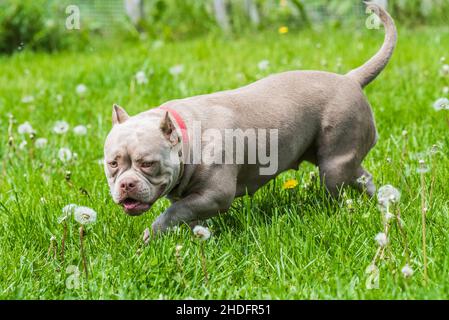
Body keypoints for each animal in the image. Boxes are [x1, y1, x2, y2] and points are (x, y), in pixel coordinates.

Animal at [102, 1, 396, 232]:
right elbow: (185, 214)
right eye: (113, 164)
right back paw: (381, 202)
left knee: (345, 185)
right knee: (363, 178)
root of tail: (351, 79)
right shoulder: (189, 196)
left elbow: (173, 213)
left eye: (147, 163)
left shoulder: (215, 195)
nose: (127, 184)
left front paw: (152, 234)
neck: (184, 136)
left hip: (335, 163)